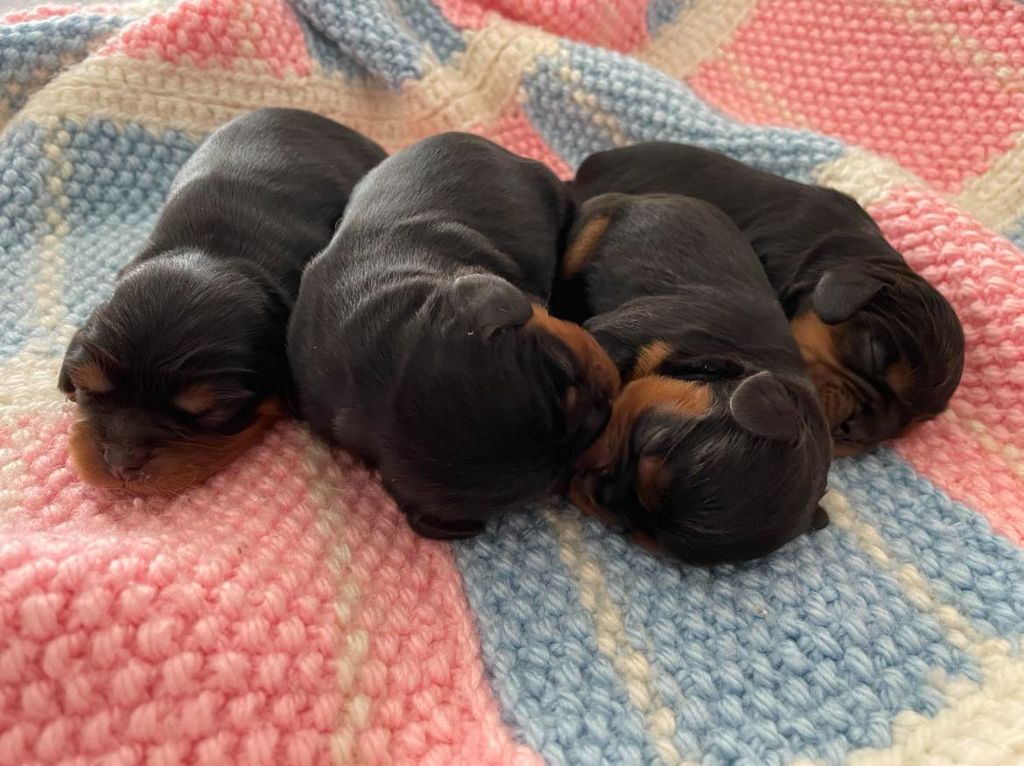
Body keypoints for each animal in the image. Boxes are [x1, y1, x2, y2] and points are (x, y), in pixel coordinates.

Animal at [561, 194, 831, 565]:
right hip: (593, 225)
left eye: (637, 530)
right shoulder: (619, 337)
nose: (597, 490)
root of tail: (650, 195)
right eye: (650, 440)